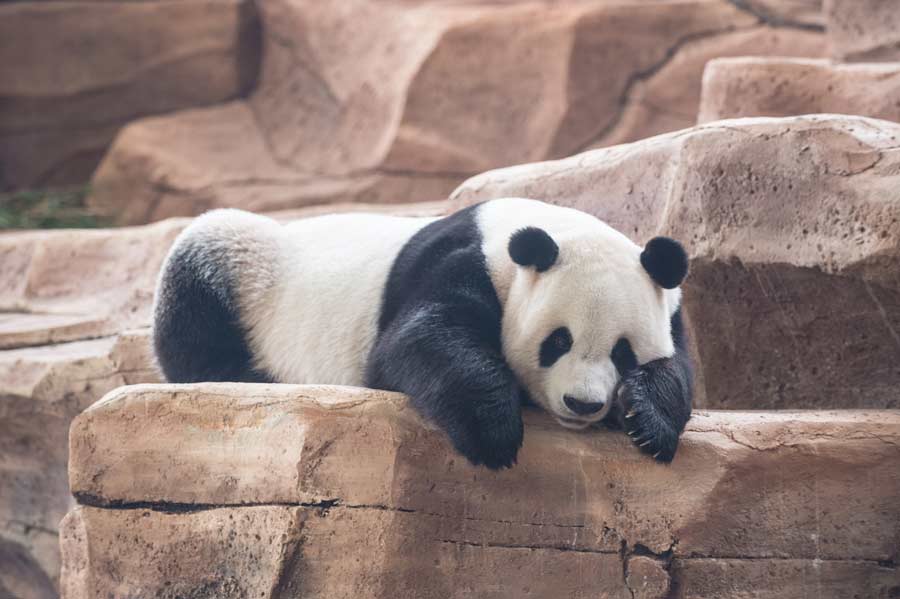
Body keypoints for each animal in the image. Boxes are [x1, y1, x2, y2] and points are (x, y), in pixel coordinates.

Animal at [153, 198, 693, 469]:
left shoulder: (670, 309)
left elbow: (679, 371)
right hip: (249, 266)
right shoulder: (460, 261)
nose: (582, 404)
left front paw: (648, 423)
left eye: (623, 353)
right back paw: (243, 372)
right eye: (558, 341)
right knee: (203, 263)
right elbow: (418, 340)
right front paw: (493, 431)